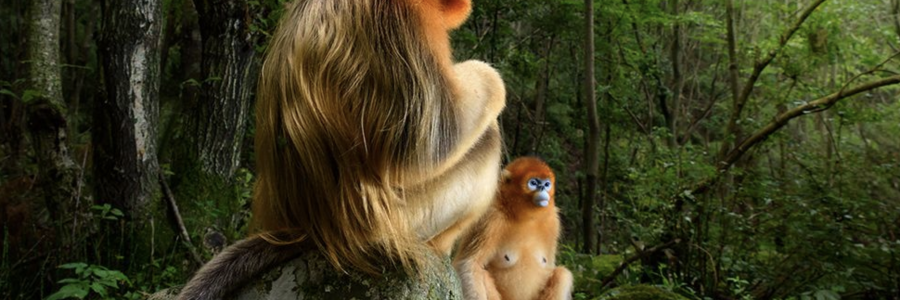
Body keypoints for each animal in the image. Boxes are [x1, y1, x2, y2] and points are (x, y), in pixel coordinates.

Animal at [178, 0, 506, 298]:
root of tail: (306, 229)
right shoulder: (397, 15)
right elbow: (428, 145)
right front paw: (490, 78)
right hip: (402, 220)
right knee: (486, 140)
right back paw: (438, 246)